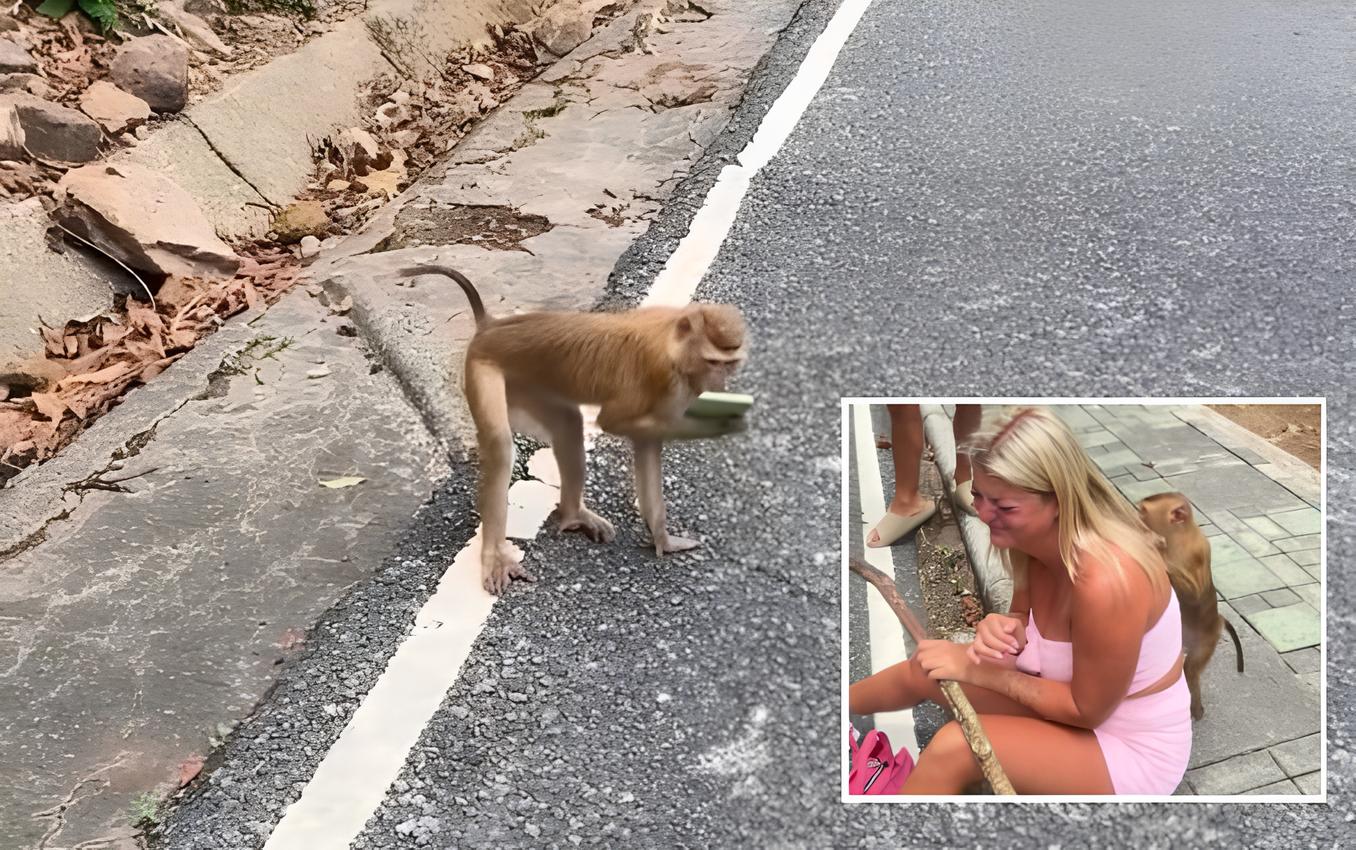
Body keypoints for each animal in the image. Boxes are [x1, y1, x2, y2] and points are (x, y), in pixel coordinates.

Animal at [403, 265, 748, 595]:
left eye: (729, 363)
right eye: (713, 362)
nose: (720, 384)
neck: (673, 342)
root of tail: (490, 327)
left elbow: (647, 442)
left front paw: (663, 539)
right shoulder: (665, 380)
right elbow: (615, 422)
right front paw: (728, 423)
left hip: (526, 384)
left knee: (568, 424)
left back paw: (572, 515)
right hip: (482, 369)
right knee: (501, 447)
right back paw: (495, 555)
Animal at [1138, 492, 1244, 720]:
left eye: (1142, 511)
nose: (1136, 518)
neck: (1178, 538)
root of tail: (1218, 620)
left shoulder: (1196, 552)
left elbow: (1194, 594)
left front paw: (1156, 552)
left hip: (1206, 640)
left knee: (1191, 670)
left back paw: (1196, 709)